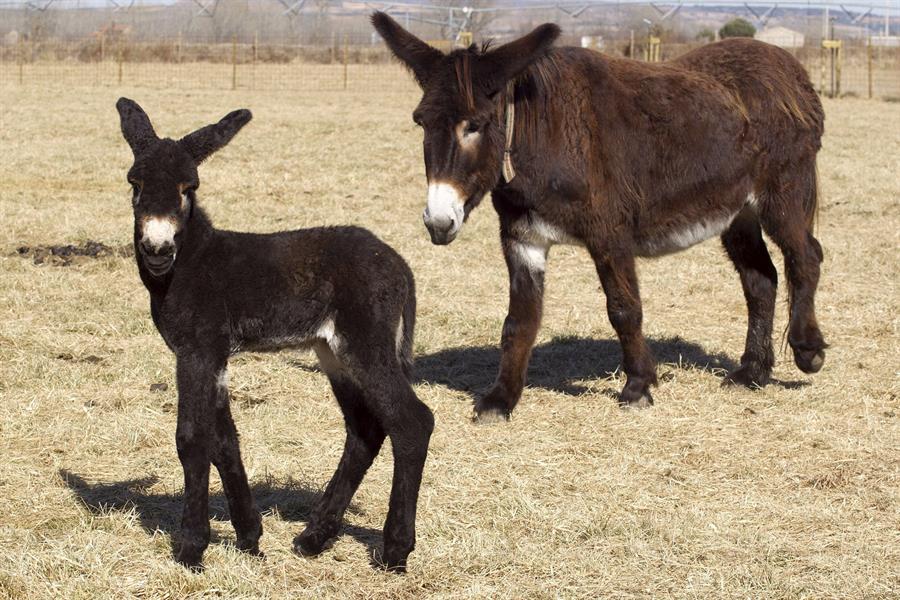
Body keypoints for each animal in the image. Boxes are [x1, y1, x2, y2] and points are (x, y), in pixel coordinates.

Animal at [116, 98, 432, 572]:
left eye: (189, 186)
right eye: (134, 183)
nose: (157, 249)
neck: (193, 260)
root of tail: (398, 262)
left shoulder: (196, 352)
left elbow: (193, 438)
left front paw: (191, 548)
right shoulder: (213, 357)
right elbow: (224, 440)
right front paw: (249, 535)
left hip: (365, 345)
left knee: (412, 422)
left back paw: (394, 550)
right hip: (332, 352)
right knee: (365, 430)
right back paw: (315, 538)